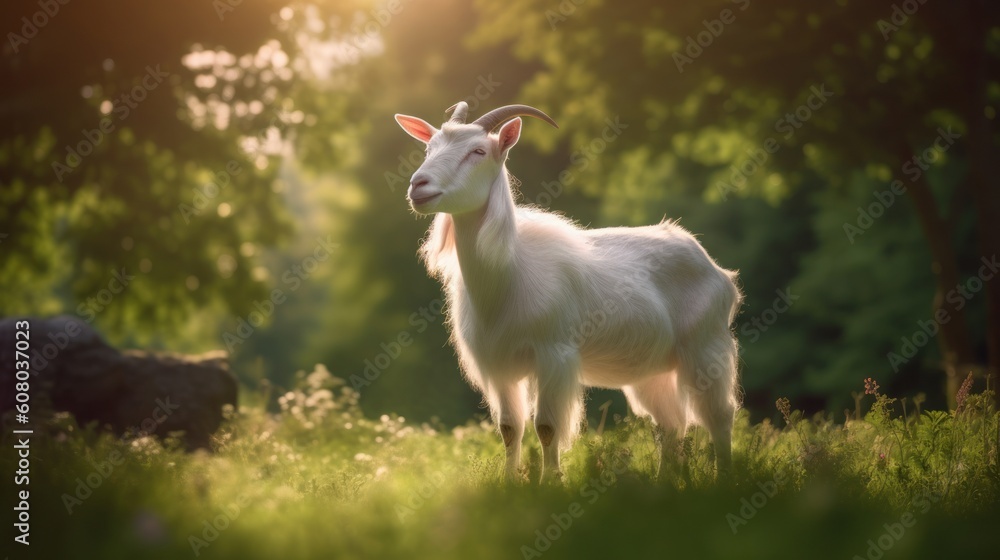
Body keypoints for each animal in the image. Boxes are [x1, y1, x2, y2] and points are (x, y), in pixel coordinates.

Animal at [393, 102, 742, 482]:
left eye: (478, 151)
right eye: (428, 149)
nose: (418, 185)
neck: (509, 273)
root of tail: (716, 269)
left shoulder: (553, 355)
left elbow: (546, 427)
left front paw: (551, 482)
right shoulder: (499, 366)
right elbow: (509, 428)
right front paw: (509, 482)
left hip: (705, 348)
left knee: (720, 415)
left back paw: (725, 478)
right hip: (654, 371)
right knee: (671, 423)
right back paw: (664, 482)